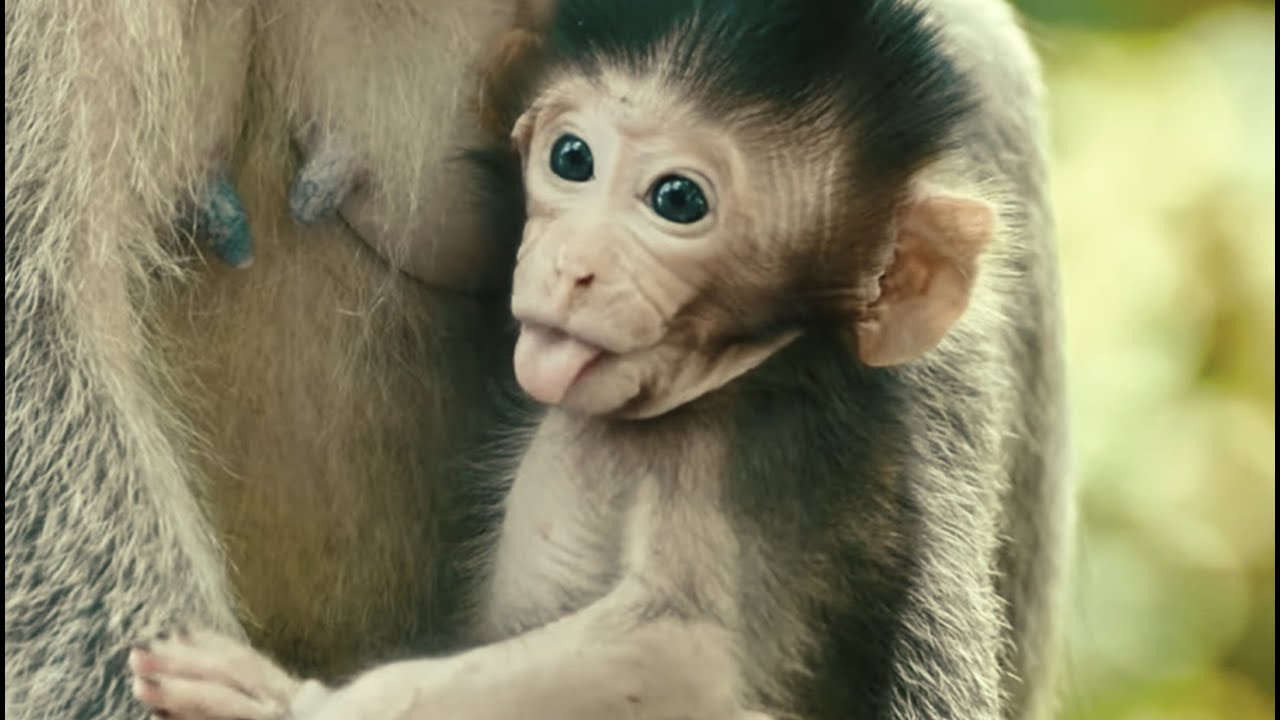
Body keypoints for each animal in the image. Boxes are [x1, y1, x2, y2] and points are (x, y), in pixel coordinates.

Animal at [124, 0, 1071, 718]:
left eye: (678, 201)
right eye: (570, 158)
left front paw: (284, 701)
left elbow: (687, 654)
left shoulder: (740, 458)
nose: (572, 266)